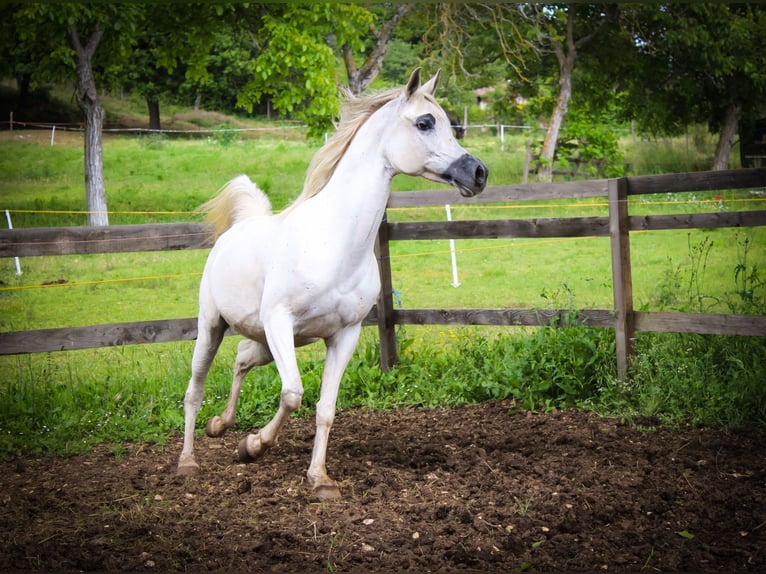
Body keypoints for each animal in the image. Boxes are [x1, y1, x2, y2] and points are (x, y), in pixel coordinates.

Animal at [177, 68, 488, 501]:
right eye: (425, 123)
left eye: (451, 124)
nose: (478, 173)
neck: (335, 242)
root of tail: (237, 230)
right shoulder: (279, 322)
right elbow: (293, 394)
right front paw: (255, 445)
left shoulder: (344, 334)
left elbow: (325, 408)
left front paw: (319, 479)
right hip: (213, 326)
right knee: (195, 390)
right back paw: (188, 461)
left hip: (267, 340)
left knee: (241, 359)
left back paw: (221, 424)